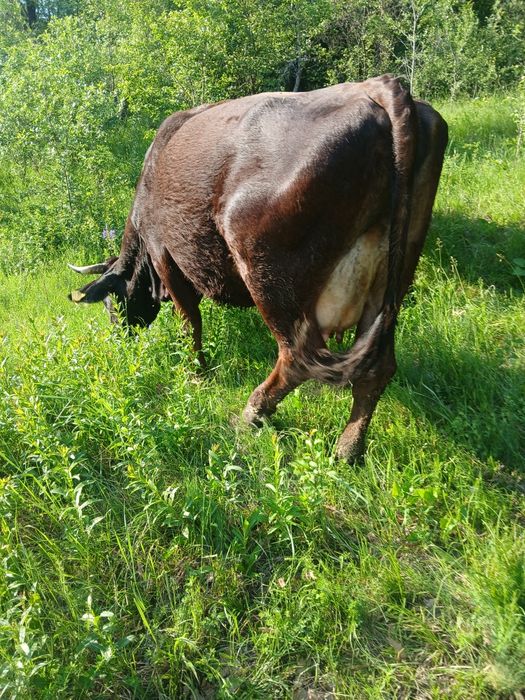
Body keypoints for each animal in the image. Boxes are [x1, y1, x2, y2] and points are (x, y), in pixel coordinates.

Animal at [69, 75, 447, 462]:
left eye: (111, 303)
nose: (120, 338)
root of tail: (379, 86)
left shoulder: (166, 256)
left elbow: (190, 323)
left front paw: (195, 374)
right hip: (392, 276)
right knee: (377, 368)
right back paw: (348, 448)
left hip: (268, 271)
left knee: (300, 357)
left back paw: (251, 414)